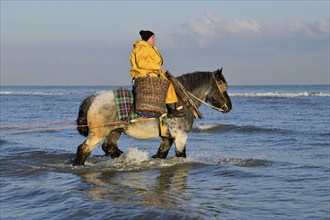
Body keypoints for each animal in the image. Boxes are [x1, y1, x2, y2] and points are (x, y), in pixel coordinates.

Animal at [72, 68, 232, 166]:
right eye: (223, 85)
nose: (229, 107)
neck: (182, 100)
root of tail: (95, 98)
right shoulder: (181, 136)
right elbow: (180, 155)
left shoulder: (167, 137)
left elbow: (161, 154)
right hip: (98, 133)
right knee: (83, 149)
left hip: (115, 130)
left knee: (109, 147)